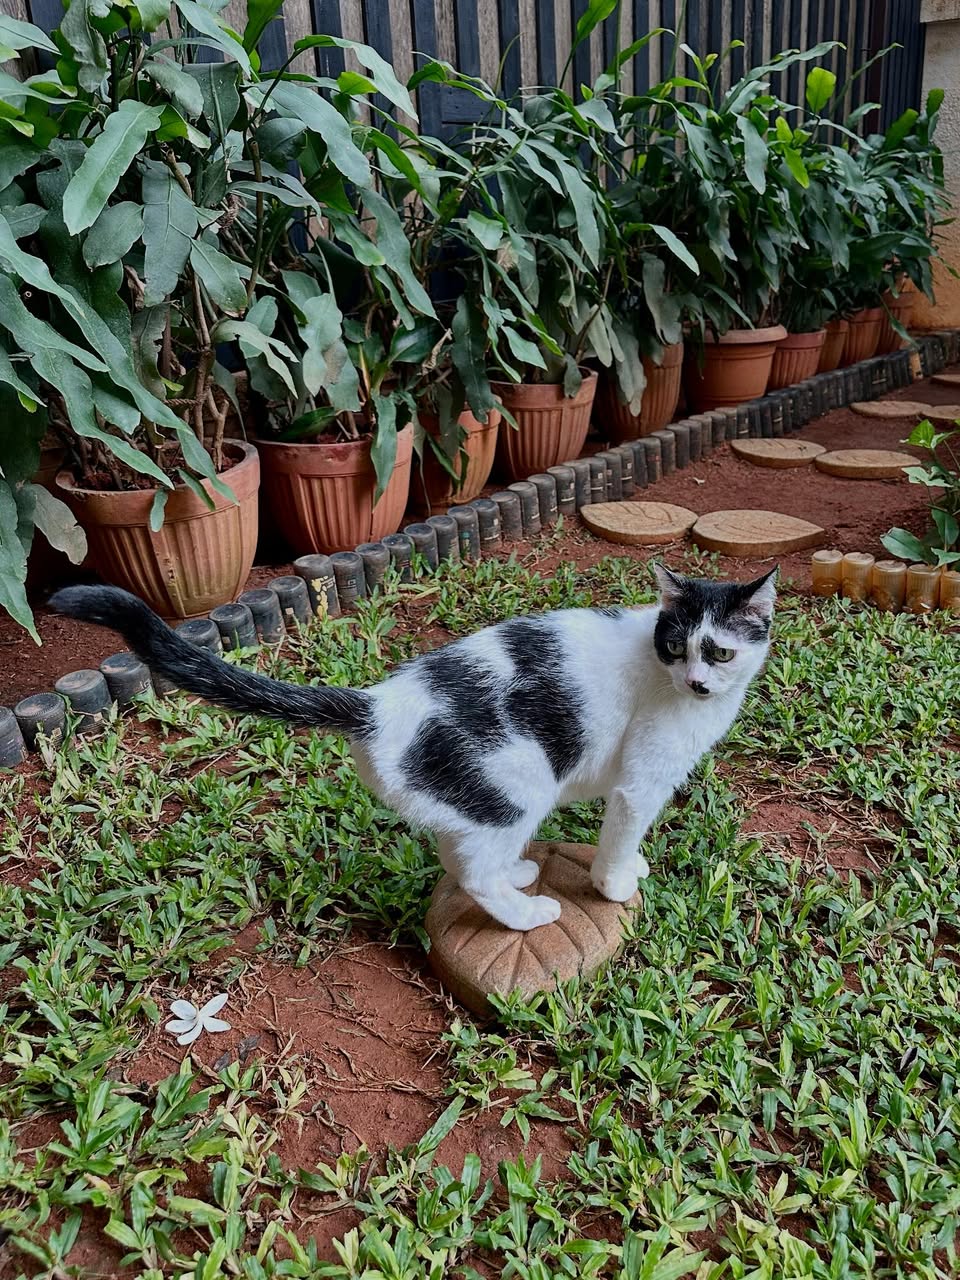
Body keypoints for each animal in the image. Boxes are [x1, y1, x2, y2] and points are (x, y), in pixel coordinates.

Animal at [51, 564, 776, 932]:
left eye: (718, 651)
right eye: (678, 646)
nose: (698, 682)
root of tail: (380, 705)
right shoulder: (640, 783)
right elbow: (621, 838)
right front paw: (617, 883)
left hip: (481, 802)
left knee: (460, 858)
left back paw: (517, 878)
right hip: (521, 787)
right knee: (475, 872)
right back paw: (526, 913)